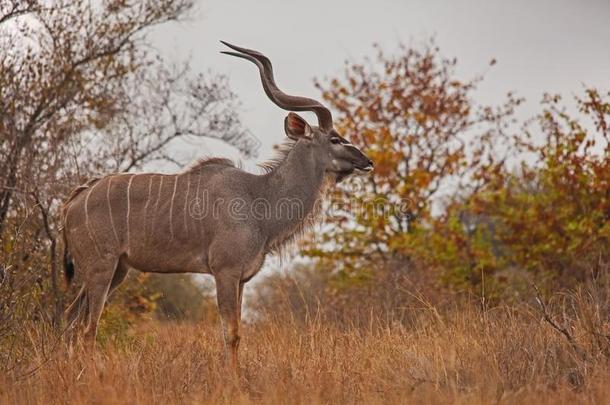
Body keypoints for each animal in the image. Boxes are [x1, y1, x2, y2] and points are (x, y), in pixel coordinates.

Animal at [63, 42, 370, 368]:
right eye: (335, 139)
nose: (367, 161)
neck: (258, 198)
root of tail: (75, 200)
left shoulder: (242, 279)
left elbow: (234, 334)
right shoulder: (226, 271)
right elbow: (231, 334)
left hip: (117, 270)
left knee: (72, 318)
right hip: (101, 267)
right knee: (88, 327)